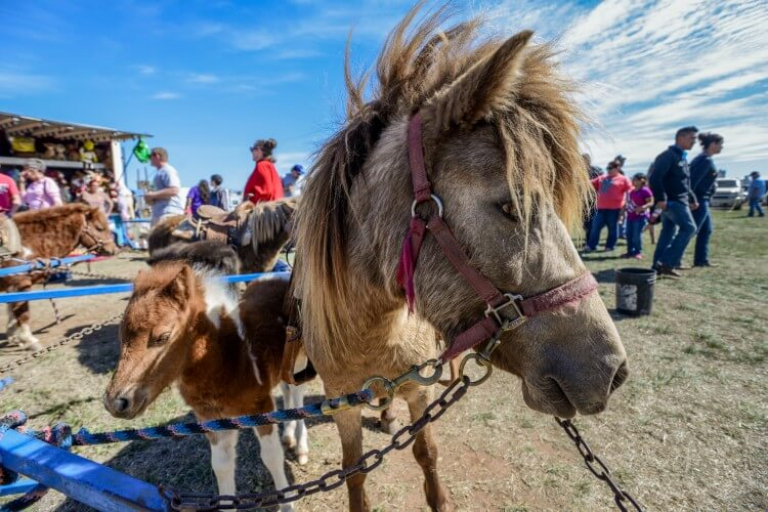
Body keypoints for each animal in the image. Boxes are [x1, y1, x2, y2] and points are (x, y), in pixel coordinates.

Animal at [1, 204, 118, 352]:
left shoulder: (12, 287)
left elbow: (12, 311)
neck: (25, 244)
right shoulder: (21, 284)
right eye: (99, 228)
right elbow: (22, 313)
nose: (114, 249)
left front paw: (14, 337)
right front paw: (29, 340)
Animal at [106, 244, 308, 508]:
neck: (232, 355)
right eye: (120, 336)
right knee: (287, 389)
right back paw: (289, 435)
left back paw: (301, 447)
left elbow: (272, 457)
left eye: (162, 337)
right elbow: (221, 467)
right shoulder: (212, 419)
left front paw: (287, 504)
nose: (116, 402)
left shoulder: (260, 406)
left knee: (298, 394)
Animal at [294, 7, 632, 512]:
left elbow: (426, 453)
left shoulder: (419, 389)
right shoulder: (342, 405)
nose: (611, 372)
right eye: (510, 205)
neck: (371, 333)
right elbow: (354, 474)